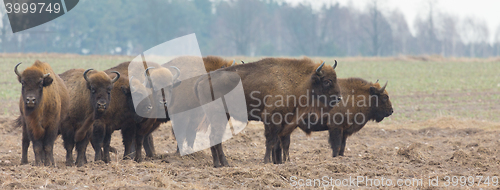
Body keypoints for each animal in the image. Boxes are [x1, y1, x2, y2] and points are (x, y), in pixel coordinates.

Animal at [195, 57, 344, 165]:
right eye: (327, 81)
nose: (338, 98)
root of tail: (204, 79)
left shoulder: (285, 122)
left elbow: (281, 143)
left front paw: (280, 162)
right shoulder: (272, 119)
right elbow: (271, 141)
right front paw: (267, 161)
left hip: (222, 116)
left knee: (213, 138)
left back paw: (217, 164)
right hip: (218, 116)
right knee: (215, 137)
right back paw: (225, 164)